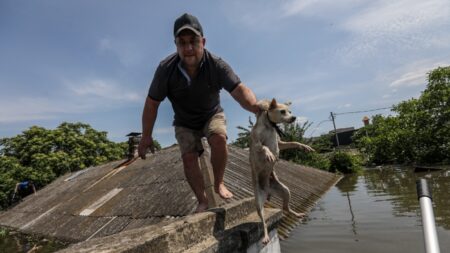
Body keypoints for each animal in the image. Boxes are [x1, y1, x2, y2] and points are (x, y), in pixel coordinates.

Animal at [248, 98, 314, 244]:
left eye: (290, 111)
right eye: (283, 111)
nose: (294, 117)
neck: (270, 126)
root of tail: (268, 191)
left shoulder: (281, 143)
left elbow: (294, 142)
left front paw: (304, 146)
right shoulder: (256, 143)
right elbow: (264, 147)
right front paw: (269, 154)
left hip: (285, 191)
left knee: (286, 207)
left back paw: (297, 214)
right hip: (258, 203)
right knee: (263, 222)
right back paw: (266, 236)